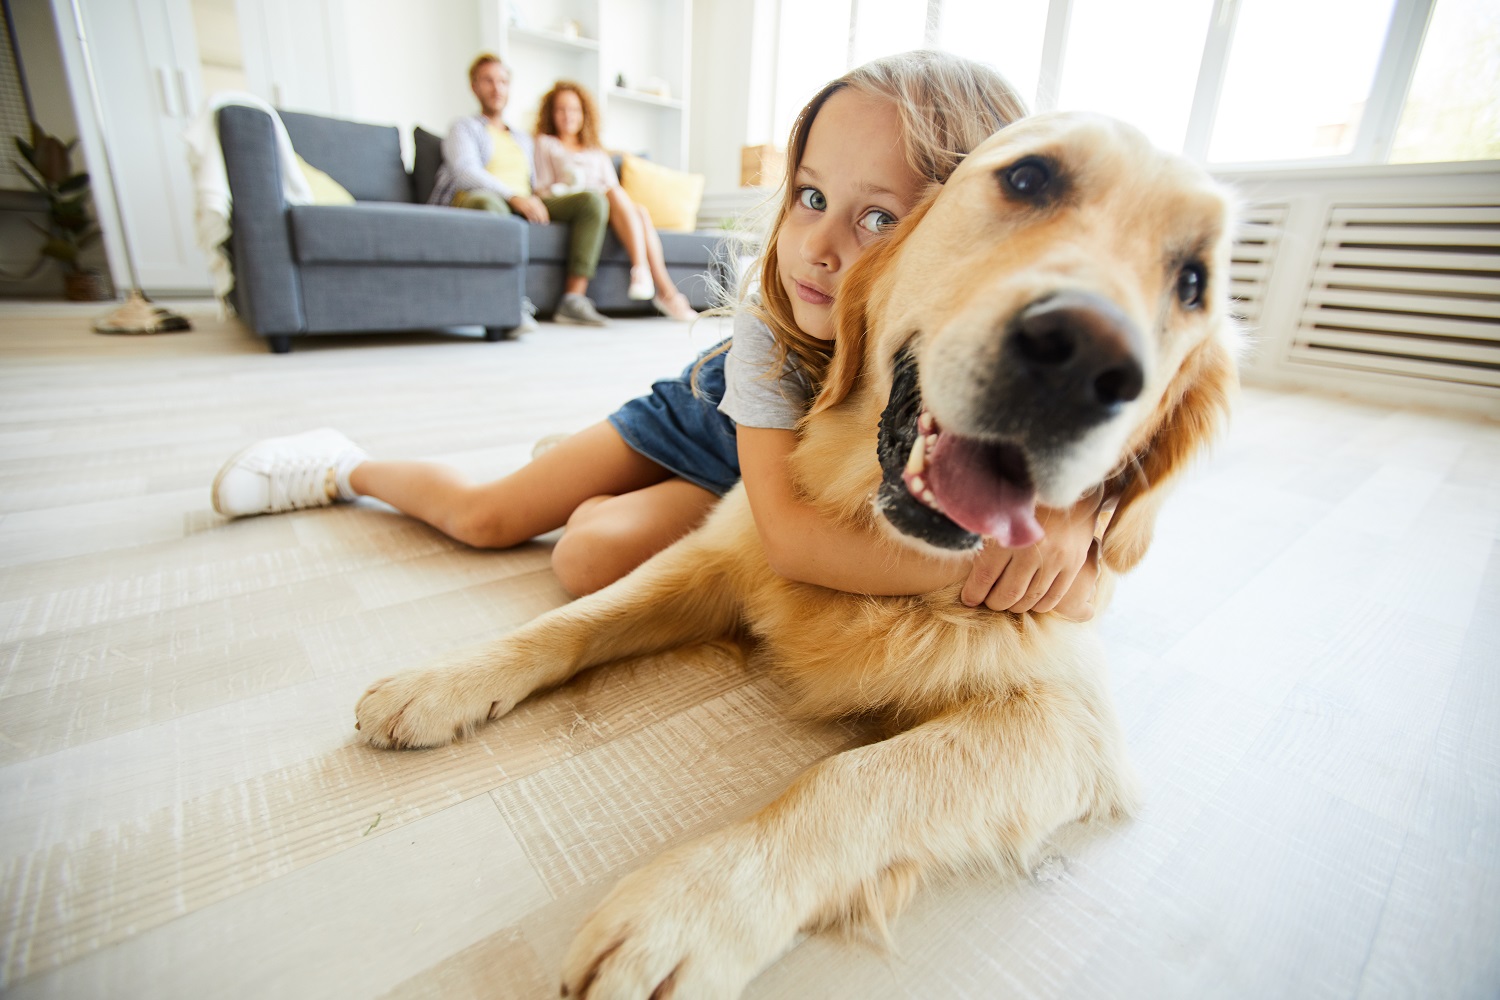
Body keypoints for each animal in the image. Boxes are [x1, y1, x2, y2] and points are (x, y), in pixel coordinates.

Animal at [354, 113, 1242, 995]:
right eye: (1028, 179)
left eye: (1194, 282)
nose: (1087, 357)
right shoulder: (725, 551)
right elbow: (570, 621)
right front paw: (439, 683)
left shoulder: (1067, 721)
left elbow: (851, 778)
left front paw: (688, 910)